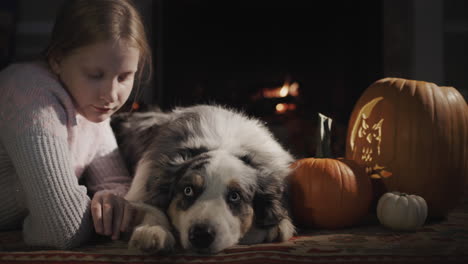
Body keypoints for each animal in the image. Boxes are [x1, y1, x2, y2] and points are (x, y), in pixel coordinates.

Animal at [111, 103, 296, 254]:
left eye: (235, 196)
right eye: (188, 190)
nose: (201, 235)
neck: (223, 145)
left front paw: (279, 225)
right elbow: (150, 207)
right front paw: (152, 230)